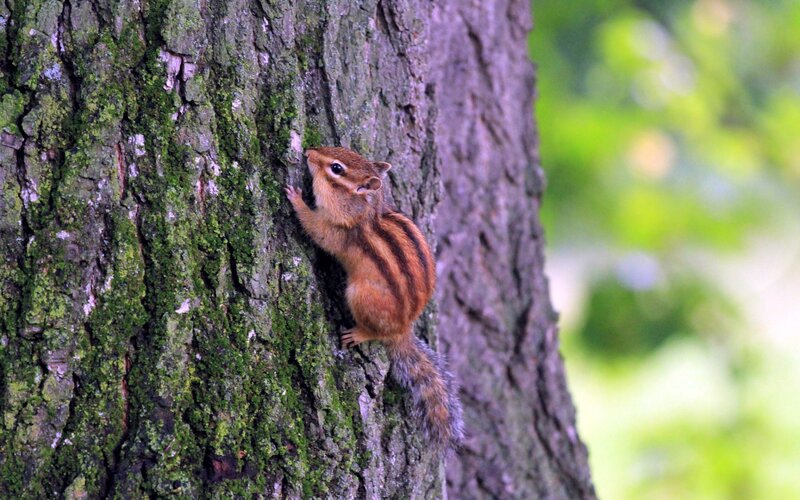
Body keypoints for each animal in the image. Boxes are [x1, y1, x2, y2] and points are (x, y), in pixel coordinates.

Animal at [285, 146, 464, 451]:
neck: (367, 211)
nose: (308, 152)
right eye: (341, 150)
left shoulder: (338, 231)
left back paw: (358, 334)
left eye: (336, 168)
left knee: (374, 332)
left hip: (359, 295)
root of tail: (402, 330)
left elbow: (316, 230)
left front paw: (296, 198)